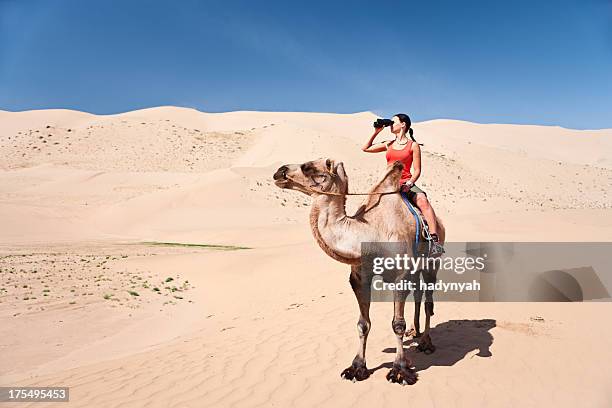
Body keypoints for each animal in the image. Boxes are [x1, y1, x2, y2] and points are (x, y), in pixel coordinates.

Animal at [272, 158, 444, 384]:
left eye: (308, 166)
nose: (279, 171)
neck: (371, 231)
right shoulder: (360, 277)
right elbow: (363, 324)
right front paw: (357, 368)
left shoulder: (401, 275)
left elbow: (397, 324)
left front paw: (400, 370)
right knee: (418, 295)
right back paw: (414, 332)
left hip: (432, 262)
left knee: (428, 301)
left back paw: (426, 343)